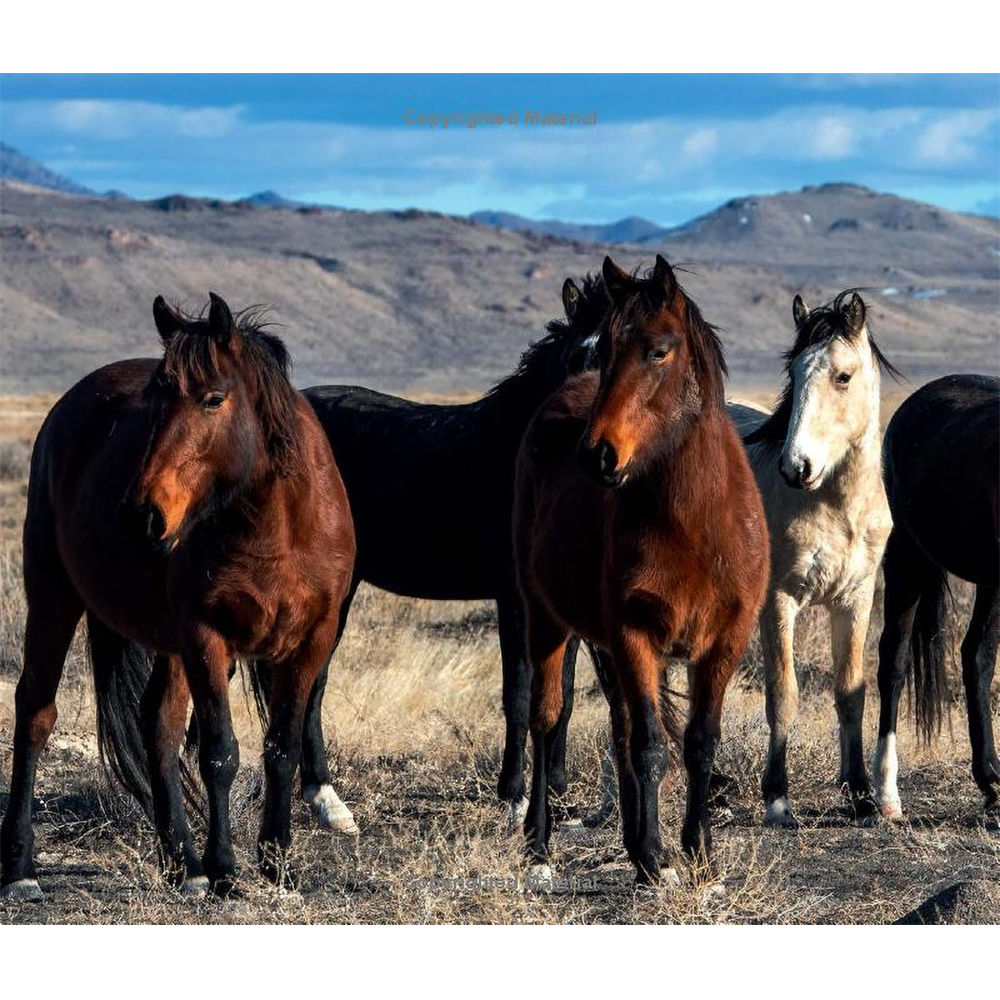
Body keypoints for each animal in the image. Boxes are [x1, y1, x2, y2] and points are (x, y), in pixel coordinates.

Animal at [0, 294, 358, 900]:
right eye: (155, 402)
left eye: (213, 398)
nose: (139, 514)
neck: (278, 529)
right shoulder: (206, 638)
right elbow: (220, 753)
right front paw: (226, 871)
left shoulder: (310, 642)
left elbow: (281, 750)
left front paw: (277, 866)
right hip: (53, 595)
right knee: (35, 712)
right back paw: (21, 870)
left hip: (165, 643)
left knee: (157, 723)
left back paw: (181, 865)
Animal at [290, 274, 608, 820]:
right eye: (573, 360)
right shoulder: (514, 599)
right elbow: (519, 692)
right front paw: (515, 798)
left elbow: (562, 694)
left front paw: (556, 793)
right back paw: (327, 800)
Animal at [516, 256, 764, 884]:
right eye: (607, 350)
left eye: (659, 351)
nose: (597, 454)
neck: (696, 522)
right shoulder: (634, 635)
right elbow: (651, 744)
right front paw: (654, 855)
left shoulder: (725, 640)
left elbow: (699, 742)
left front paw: (698, 851)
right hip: (546, 619)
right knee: (547, 718)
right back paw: (538, 842)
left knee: (618, 726)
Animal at [728, 292, 900, 828]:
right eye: (795, 372)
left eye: (842, 376)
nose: (795, 466)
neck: (835, 505)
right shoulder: (779, 601)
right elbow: (783, 694)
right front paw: (777, 799)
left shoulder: (855, 601)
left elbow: (851, 691)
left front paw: (862, 795)